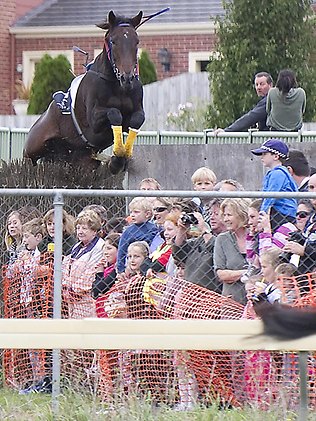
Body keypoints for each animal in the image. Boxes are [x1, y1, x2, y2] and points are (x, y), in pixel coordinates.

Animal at [23, 10, 146, 174]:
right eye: (113, 41)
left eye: (136, 41)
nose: (127, 78)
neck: (117, 86)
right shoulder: (93, 122)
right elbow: (114, 113)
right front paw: (118, 155)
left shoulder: (136, 110)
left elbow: (137, 119)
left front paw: (120, 157)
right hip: (33, 147)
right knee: (30, 160)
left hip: (80, 160)